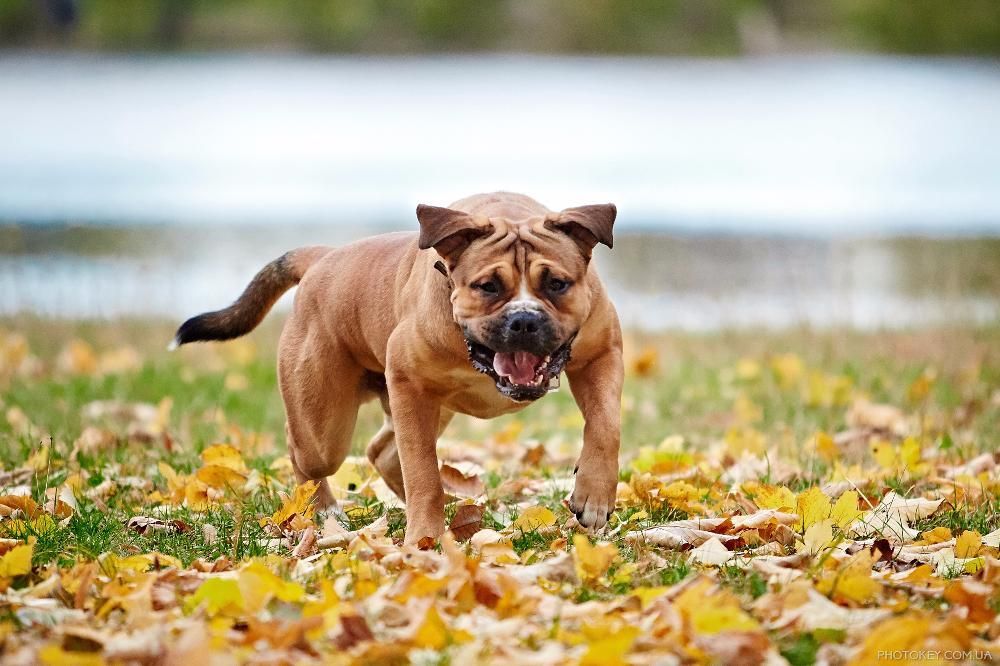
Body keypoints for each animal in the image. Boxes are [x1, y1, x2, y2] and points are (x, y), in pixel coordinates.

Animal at [176, 189, 620, 544]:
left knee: (383, 451)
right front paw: (425, 540)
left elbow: (605, 427)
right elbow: (422, 474)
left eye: (557, 284)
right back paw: (320, 509)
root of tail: (324, 257)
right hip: (326, 428)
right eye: (487, 286)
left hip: (432, 407)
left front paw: (594, 497)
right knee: (306, 452)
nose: (524, 320)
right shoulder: (410, 385)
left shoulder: (602, 354)